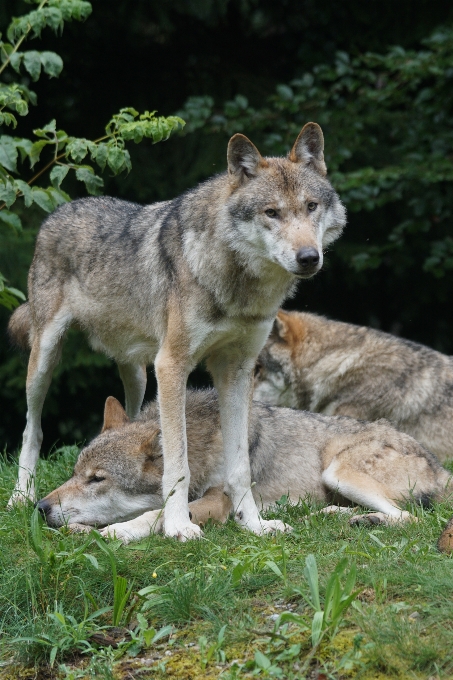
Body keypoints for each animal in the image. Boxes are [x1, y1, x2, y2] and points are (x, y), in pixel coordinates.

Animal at [7, 123, 346, 540]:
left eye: (311, 207)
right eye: (272, 213)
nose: (309, 257)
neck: (238, 286)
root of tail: (62, 208)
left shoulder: (237, 372)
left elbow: (239, 466)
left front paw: (253, 524)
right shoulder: (171, 366)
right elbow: (177, 462)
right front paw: (177, 526)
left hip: (137, 372)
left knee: (130, 416)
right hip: (45, 358)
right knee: (32, 428)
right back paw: (21, 495)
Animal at [37, 390, 450, 544]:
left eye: (97, 479)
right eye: (74, 474)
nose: (40, 507)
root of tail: (441, 466)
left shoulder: (217, 501)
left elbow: (156, 515)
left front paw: (115, 533)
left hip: (338, 470)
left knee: (414, 518)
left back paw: (368, 521)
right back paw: (338, 516)